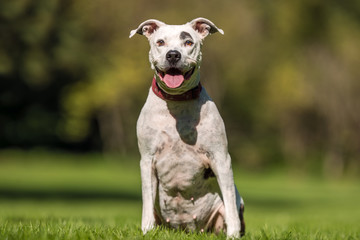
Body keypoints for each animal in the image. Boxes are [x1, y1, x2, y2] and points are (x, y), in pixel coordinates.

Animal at [129, 17, 245, 238]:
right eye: (160, 42)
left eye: (188, 42)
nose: (173, 54)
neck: (176, 103)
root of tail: (188, 229)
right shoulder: (147, 160)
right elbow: (147, 198)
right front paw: (146, 230)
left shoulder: (221, 158)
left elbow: (229, 199)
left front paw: (233, 235)